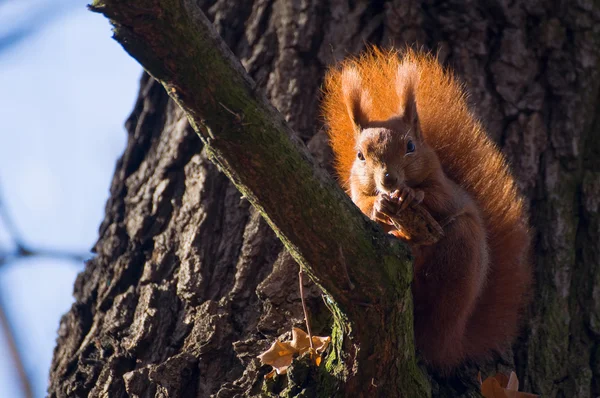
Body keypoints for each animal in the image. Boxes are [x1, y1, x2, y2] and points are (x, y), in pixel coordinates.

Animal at [322, 49, 532, 370]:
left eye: (410, 146)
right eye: (360, 155)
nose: (389, 180)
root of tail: (453, 342)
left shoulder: (446, 188)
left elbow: (438, 198)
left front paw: (412, 194)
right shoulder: (354, 193)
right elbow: (362, 204)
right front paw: (379, 205)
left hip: (459, 255)